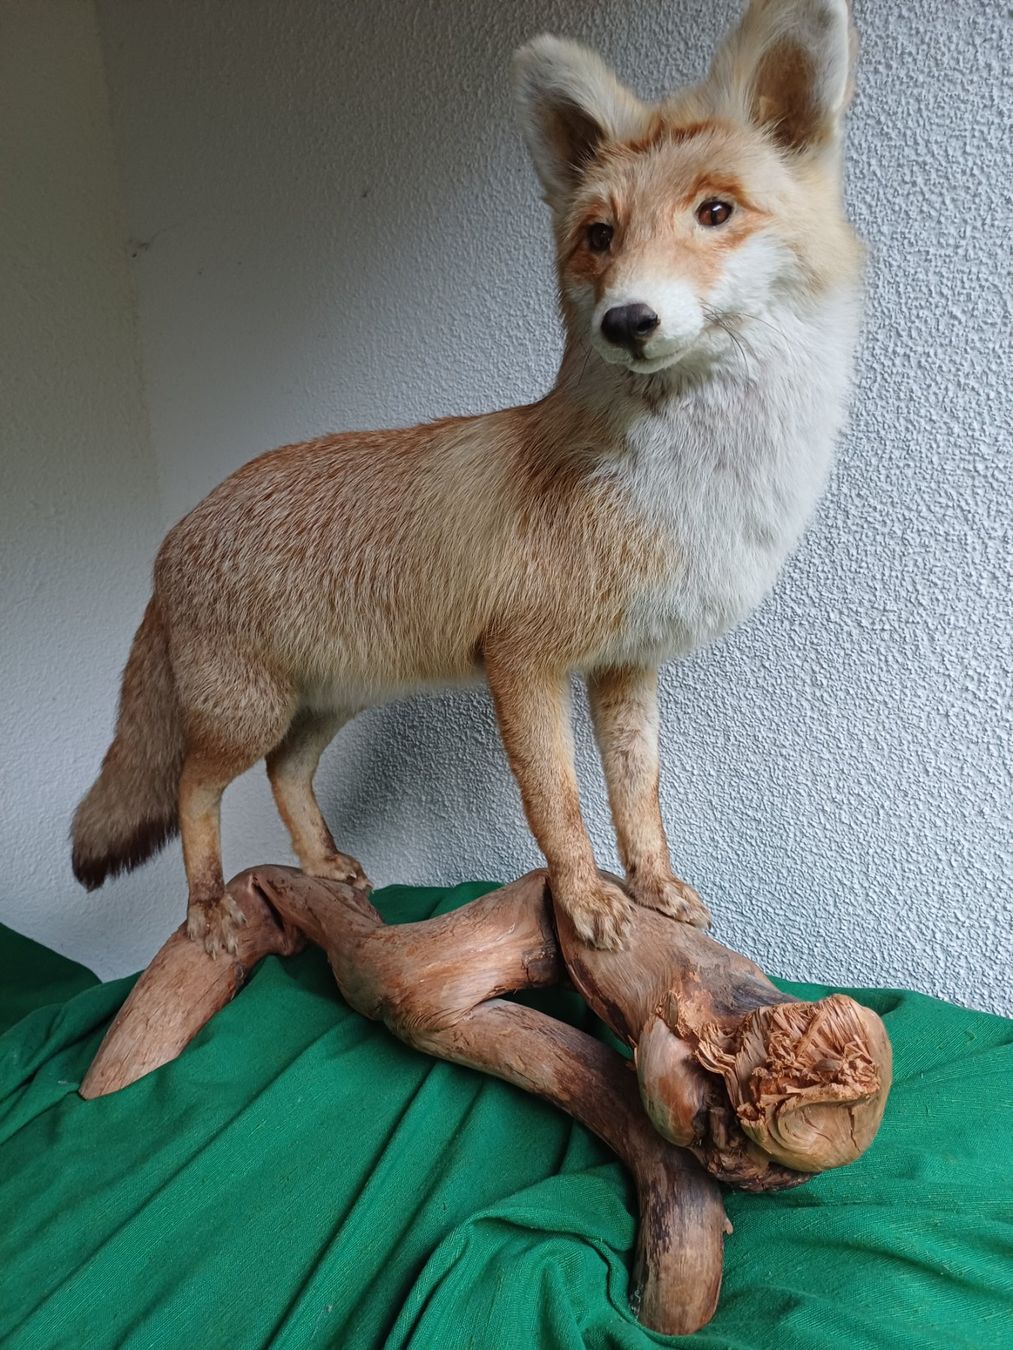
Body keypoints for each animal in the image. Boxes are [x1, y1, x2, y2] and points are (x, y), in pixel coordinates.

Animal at [72, 0, 863, 957]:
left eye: (715, 211)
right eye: (599, 237)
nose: (625, 320)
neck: (685, 493)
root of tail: (172, 538)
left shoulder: (626, 667)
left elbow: (636, 799)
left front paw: (654, 890)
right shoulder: (521, 659)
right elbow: (557, 804)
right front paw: (585, 904)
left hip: (326, 703)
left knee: (285, 774)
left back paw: (322, 866)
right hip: (248, 710)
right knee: (194, 787)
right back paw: (205, 908)